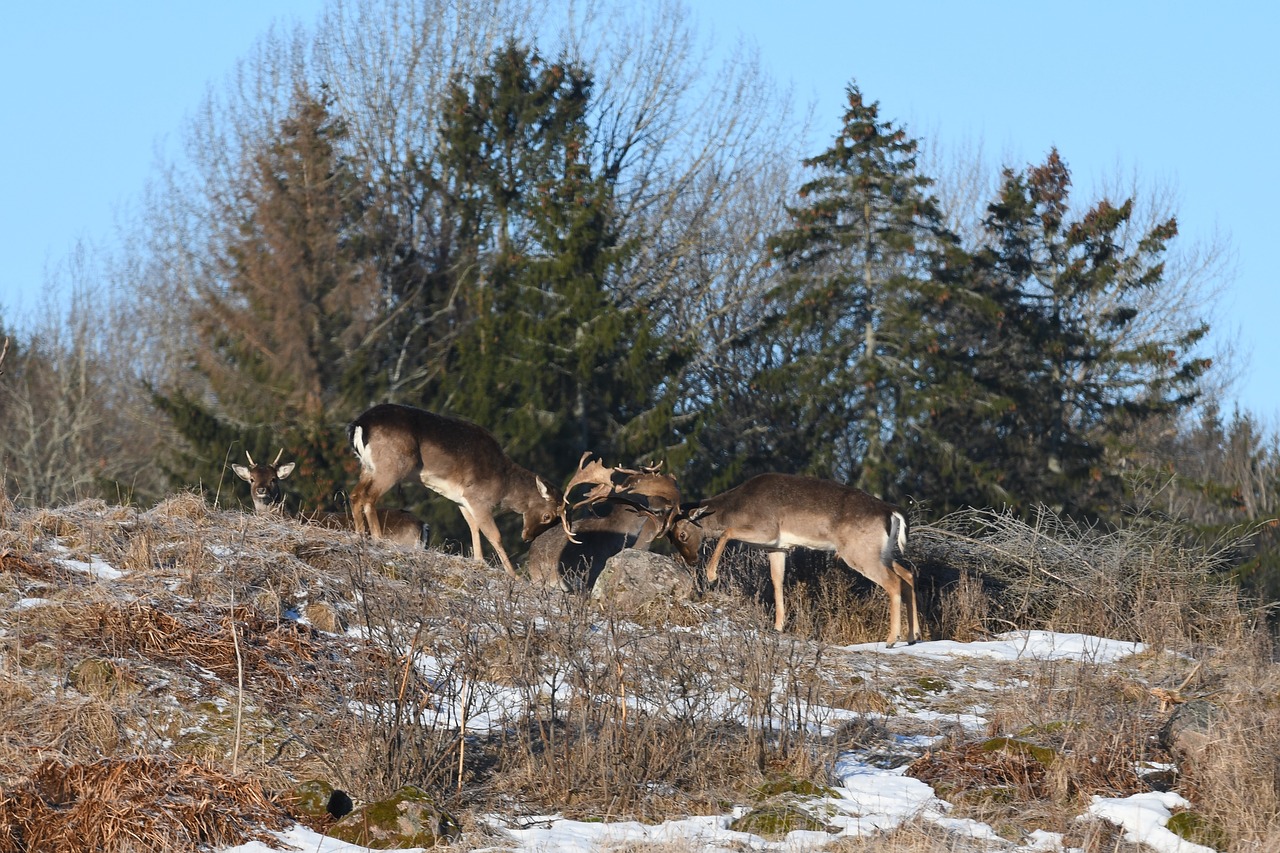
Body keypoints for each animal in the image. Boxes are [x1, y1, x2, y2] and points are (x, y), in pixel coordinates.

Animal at [345, 402, 560, 573]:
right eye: (547, 516)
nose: (527, 538)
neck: (504, 483)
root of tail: (360, 424)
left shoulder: (462, 500)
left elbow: (473, 527)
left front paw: (479, 560)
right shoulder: (479, 498)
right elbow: (495, 535)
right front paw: (513, 575)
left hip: (368, 467)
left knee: (355, 494)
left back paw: (360, 534)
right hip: (392, 466)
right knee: (369, 496)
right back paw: (378, 537)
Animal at [670, 471, 921, 645]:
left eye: (682, 534)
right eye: (671, 536)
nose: (691, 561)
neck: (736, 508)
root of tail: (891, 512)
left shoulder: (767, 530)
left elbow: (727, 532)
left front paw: (711, 575)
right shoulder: (777, 547)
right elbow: (777, 580)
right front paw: (778, 626)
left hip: (860, 552)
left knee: (894, 582)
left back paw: (892, 639)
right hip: (878, 551)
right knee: (908, 575)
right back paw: (914, 636)